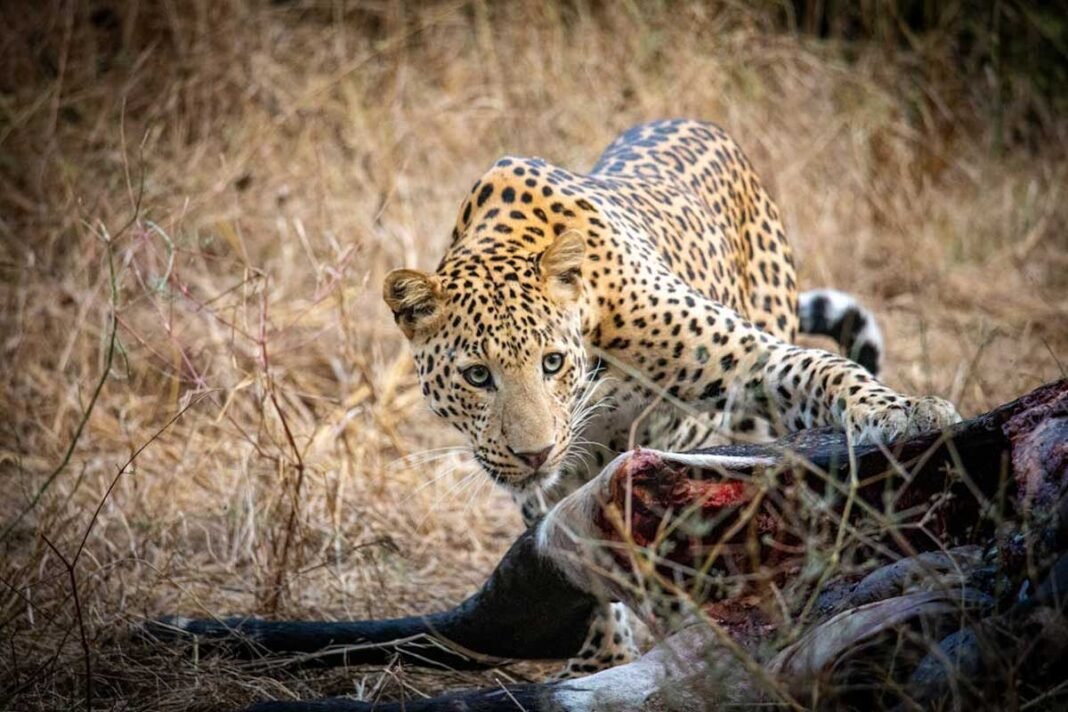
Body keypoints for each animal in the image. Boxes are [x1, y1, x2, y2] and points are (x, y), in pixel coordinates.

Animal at [382, 121, 961, 678]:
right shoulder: (549, 481)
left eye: (551, 362)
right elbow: (572, 549)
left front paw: (902, 411)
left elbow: (825, 369)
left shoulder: (751, 359)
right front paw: (604, 656)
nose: (535, 454)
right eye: (478, 376)